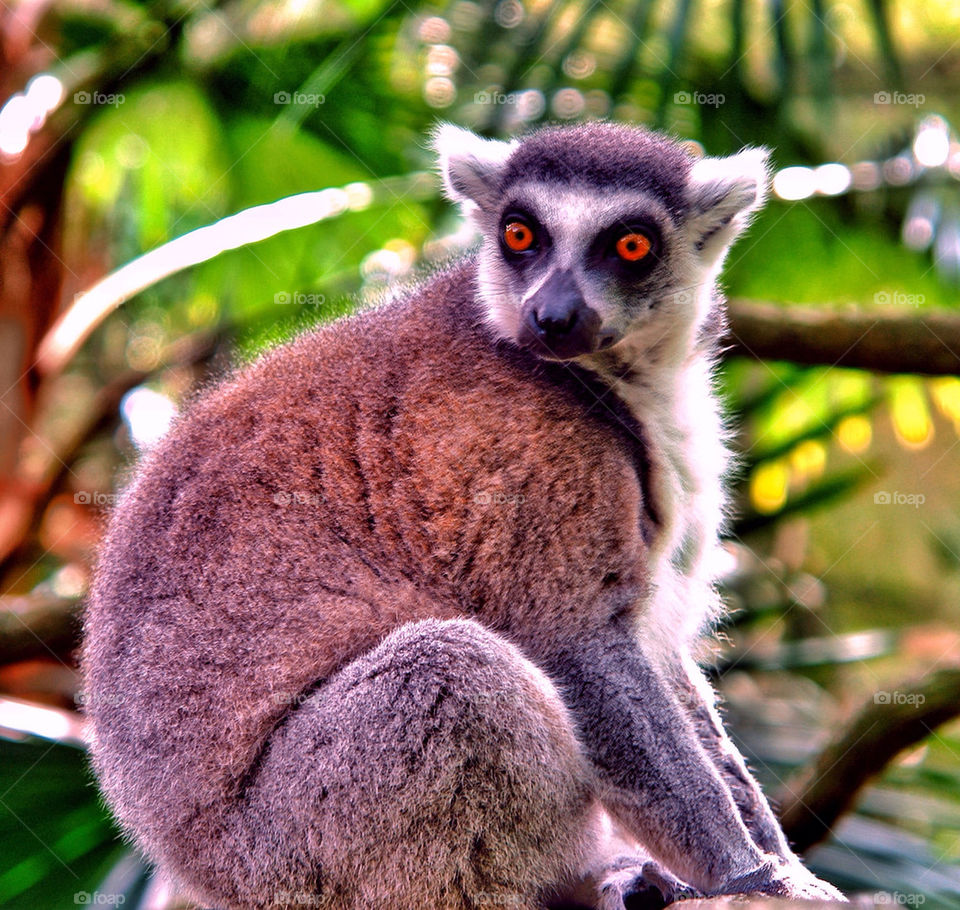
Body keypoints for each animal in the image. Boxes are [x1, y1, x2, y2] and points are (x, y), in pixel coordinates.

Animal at [82, 121, 848, 910]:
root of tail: (188, 862)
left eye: (630, 245)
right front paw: (748, 871)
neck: (626, 382)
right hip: (304, 847)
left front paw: (783, 864)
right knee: (449, 674)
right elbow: (573, 641)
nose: (553, 316)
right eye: (520, 235)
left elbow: (662, 658)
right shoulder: (528, 462)